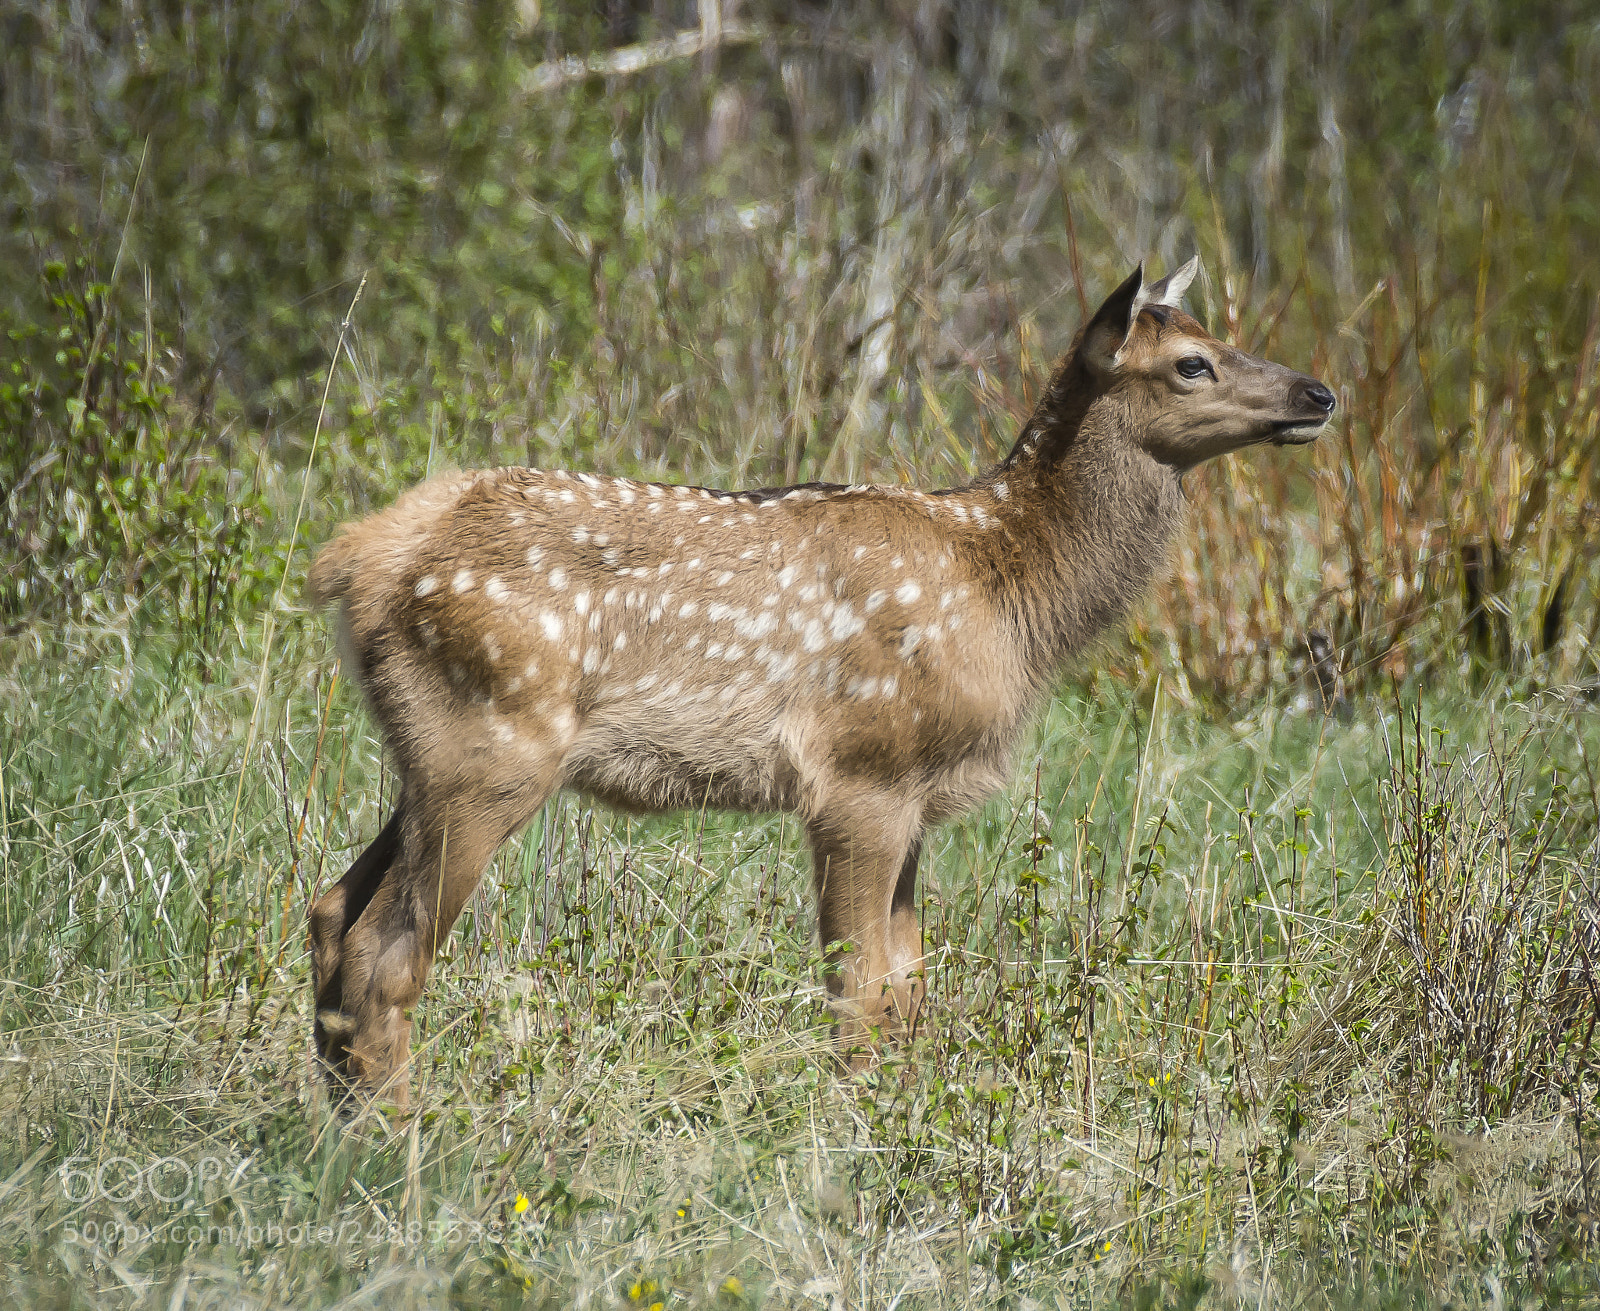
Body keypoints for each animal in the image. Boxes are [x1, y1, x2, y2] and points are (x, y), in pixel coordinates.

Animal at [305, 259, 1335, 1107]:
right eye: (1193, 363)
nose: (1320, 392)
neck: (1006, 589)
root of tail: (361, 558)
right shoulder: (859, 771)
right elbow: (860, 993)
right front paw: (857, 1145)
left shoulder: (916, 792)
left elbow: (912, 990)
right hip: (491, 745)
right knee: (385, 953)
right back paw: (400, 1145)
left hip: (432, 754)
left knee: (330, 910)